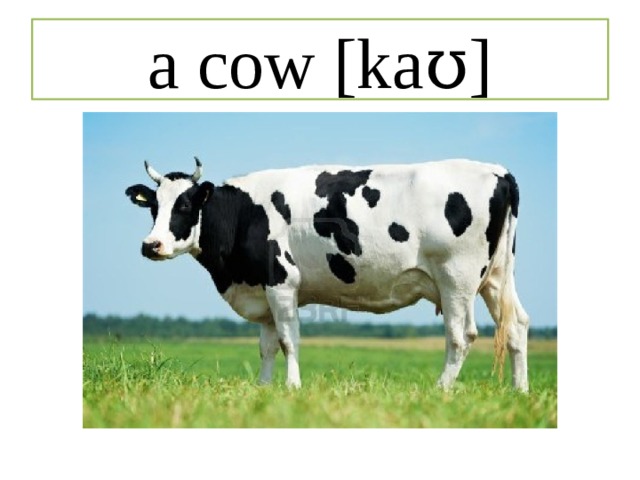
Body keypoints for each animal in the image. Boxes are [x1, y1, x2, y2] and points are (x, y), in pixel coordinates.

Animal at [125, 157, 530, 392]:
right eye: (153, 207)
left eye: (185, 205)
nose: (151, 245)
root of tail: (499, 171)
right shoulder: (262, 288)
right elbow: (266, 346)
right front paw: (263, 388)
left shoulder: (282, 282)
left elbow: (288, 341)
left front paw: (291, 388)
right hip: (497, 277)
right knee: (516, 326)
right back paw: (519, 391)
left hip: (456, 277)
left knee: (462, 336)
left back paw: (440, 390)